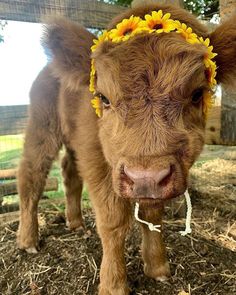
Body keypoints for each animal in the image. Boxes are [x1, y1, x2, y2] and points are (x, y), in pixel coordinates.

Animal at [17, 3, 236, 294]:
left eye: (197, 94)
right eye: (103, 97)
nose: (145, 177)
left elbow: (153, 216)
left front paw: (158, 268)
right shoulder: (98, 161)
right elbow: (113, 222)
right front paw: (113, 284)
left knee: (69, 173)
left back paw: (76, 223)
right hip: (43, 127)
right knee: (32, 175)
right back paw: (28, 240)